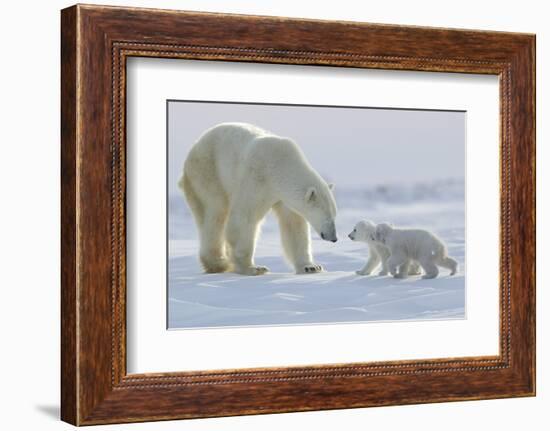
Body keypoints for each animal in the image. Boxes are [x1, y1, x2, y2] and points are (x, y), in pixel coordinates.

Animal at [179, 123, 338, 276]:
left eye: (334, 215)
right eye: (327, 216)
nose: (334, 238)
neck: (281, 165)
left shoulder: (283, 195)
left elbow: (293, 225)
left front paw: (311, 267)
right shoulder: (257, 177)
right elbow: (244, 218)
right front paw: (253, 268)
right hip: (207, 172)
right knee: (215, 211)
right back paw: (219, 263)